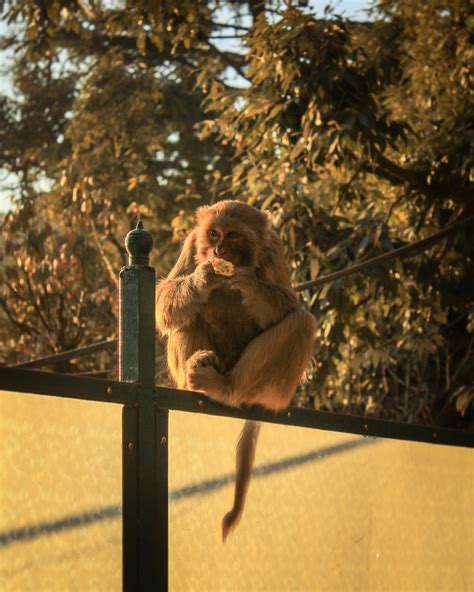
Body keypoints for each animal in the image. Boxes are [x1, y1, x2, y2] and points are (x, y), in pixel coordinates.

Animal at [157, 200, 316, 540]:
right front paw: (203, 278)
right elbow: (163, 304)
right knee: (186, 317)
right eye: (213, 233)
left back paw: (225, 388)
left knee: (301, 322)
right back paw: (196, 374)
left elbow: (288, 304)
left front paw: (245, 280)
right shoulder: (192, 242)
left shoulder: (273, 248)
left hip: (275, 389)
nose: (218, 249)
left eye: (232, 235)